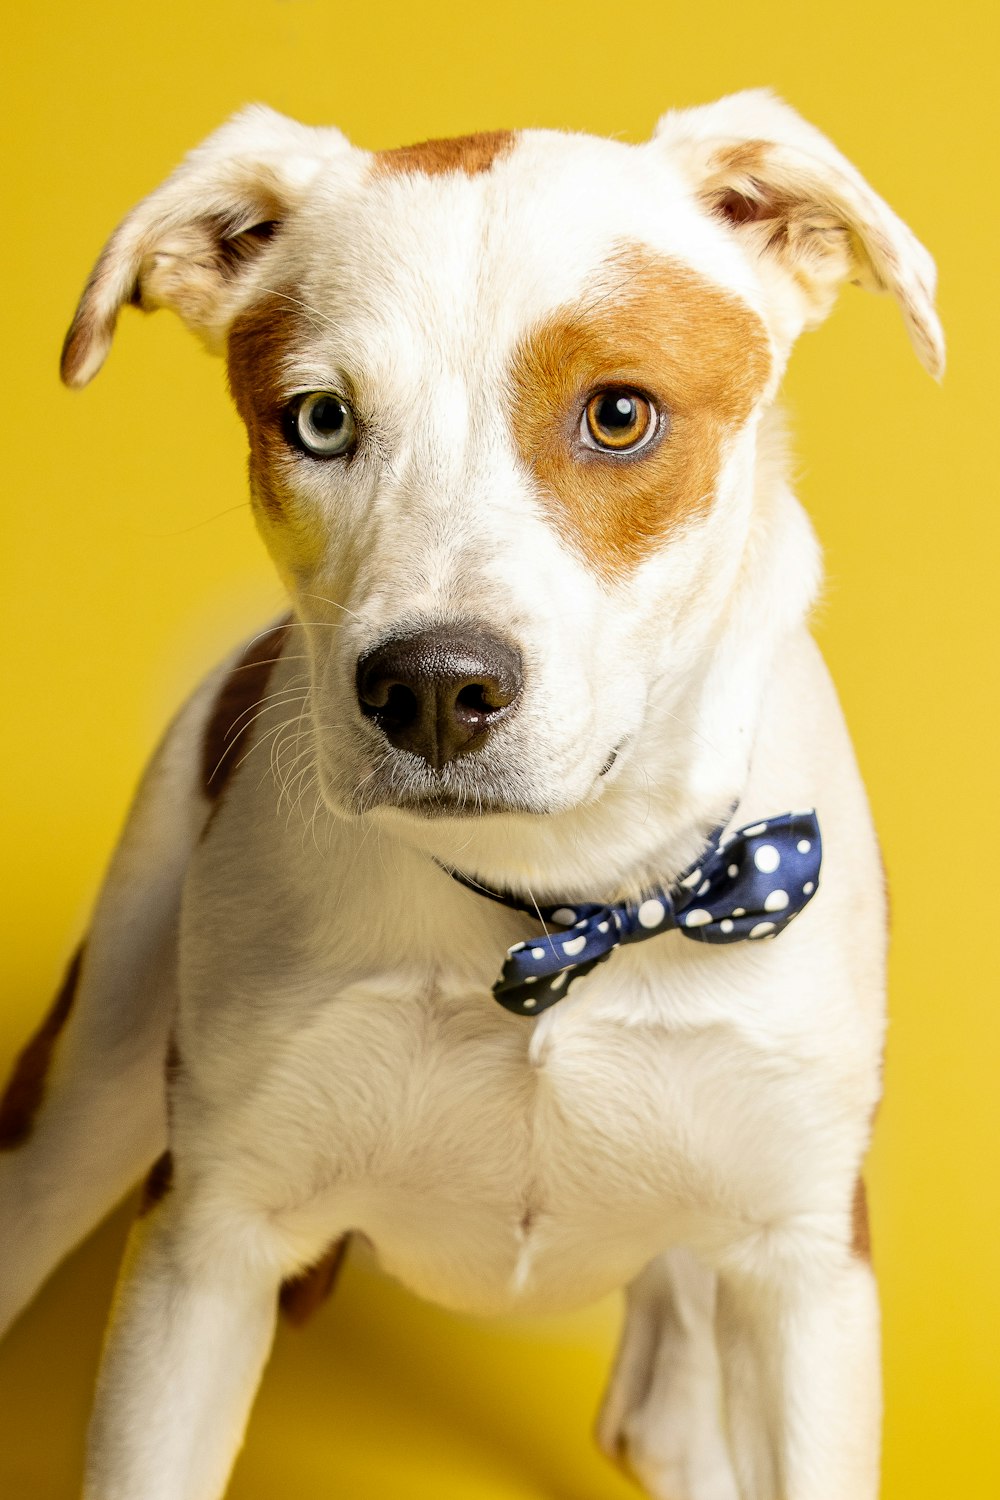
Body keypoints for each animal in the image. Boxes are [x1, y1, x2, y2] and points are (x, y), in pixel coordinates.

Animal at [0, 93, 941, 1500]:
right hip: (89, 1081)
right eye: (319, 421)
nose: (433, 689)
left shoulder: (806, 1275)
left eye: (620, 415)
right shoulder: (204, 1248)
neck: (570, 899)